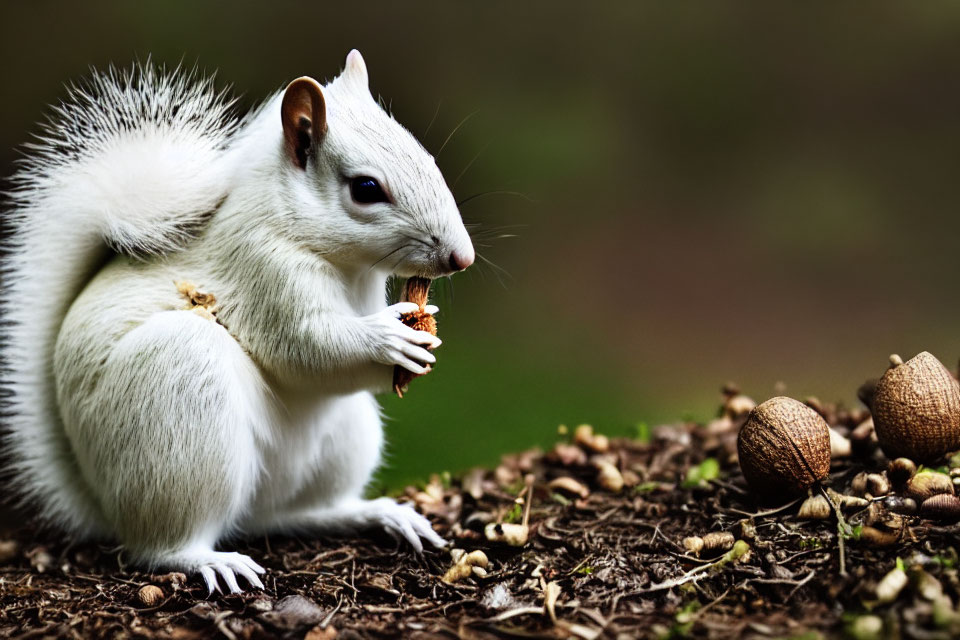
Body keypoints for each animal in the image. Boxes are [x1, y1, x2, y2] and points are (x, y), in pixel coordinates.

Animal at [1, 51, 474, 596]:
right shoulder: (263, 271)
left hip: (343, 440)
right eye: (366, 188)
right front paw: (388, 337)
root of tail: (98, 499)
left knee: (296, 513)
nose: (463, 258)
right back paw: (204, 558)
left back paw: (374, 514)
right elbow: (310, 349)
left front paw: (424, 331)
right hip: (180, 399)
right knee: (161, 545)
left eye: (429, 159)